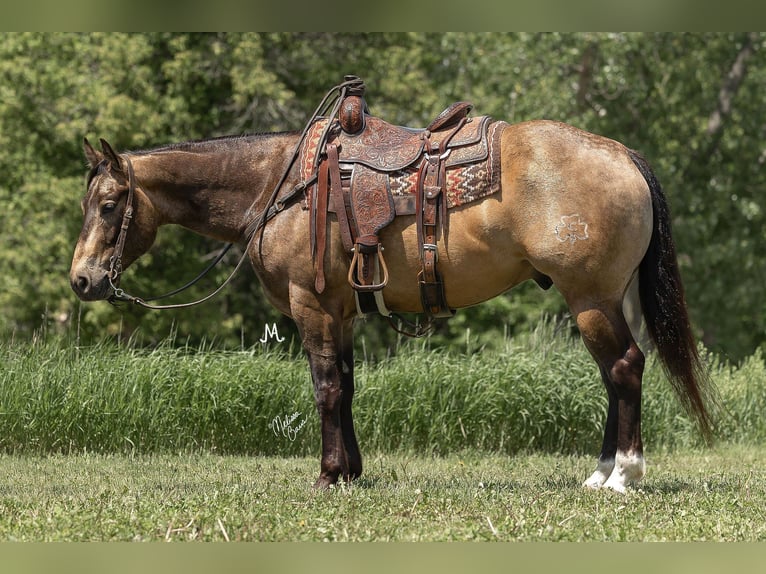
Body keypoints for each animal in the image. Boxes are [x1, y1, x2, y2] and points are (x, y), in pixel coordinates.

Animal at [70, 82, 713, 493]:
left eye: (109, 205)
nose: (82, 279)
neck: (279, 186)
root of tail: (622, 154)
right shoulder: (340, 311)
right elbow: (347, 387)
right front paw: (352, 472)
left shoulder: (311, 306)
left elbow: (326, 389)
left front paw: (328, 475)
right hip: (605, 299)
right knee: (614, 375)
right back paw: (600, 472)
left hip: (590, 299)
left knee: (625, 368)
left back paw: (624, 475)